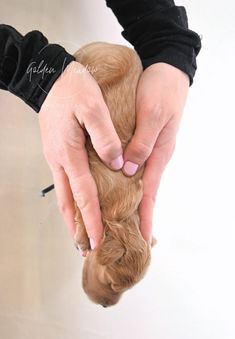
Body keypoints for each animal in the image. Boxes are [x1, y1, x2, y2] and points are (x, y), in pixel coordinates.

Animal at [72, 42, 155, 308]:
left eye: (125, 290)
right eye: (111, 283)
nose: (106, 306)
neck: (122, 214)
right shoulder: (90, 183)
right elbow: (82, 209)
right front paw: (83, 238)